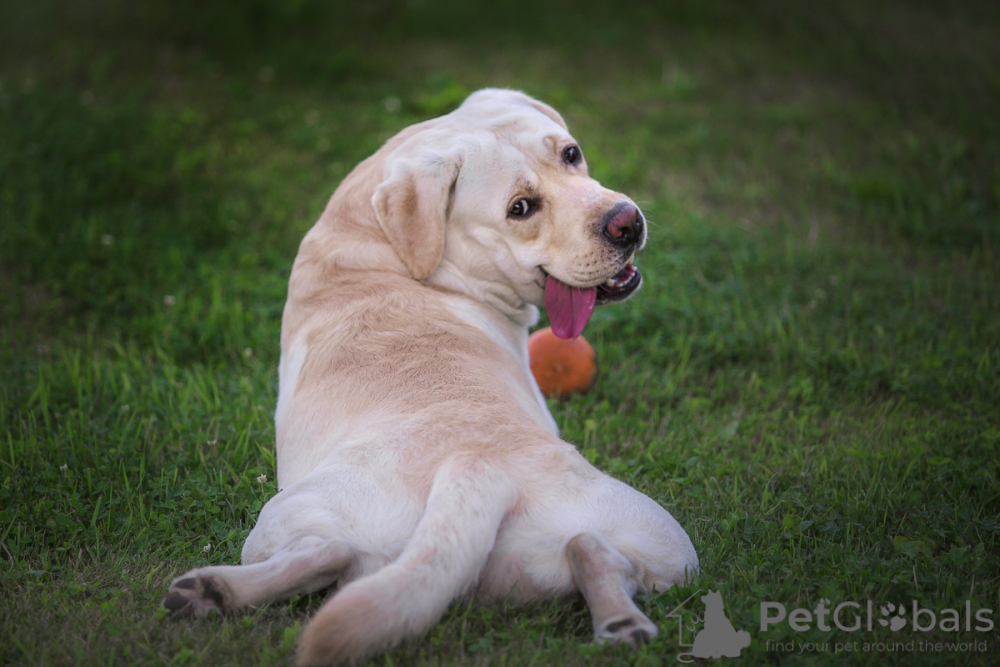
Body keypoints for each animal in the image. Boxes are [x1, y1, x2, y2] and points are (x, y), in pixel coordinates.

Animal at [162, 87, 696, 664]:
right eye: (520, 208)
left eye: (571, 154)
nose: (627, 222)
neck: (384, 242)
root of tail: (476, 467)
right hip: (674, 547)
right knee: (595, 550)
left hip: (291, 521)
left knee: (331, 555)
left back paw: (213, 591)